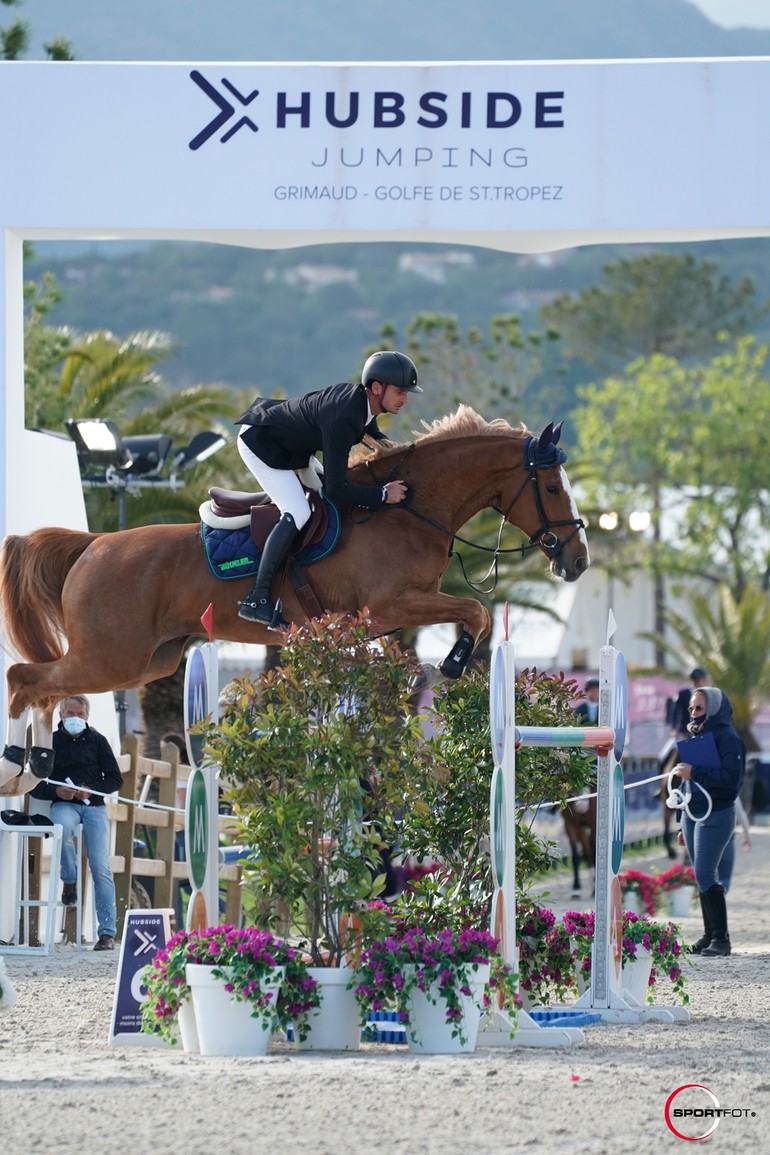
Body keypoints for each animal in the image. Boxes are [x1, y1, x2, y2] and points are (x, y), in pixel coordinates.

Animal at [1, 401, 591, 790]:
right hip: (112, 657)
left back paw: (40, 764)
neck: (409, 509)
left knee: (45, 687)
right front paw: (452, 662)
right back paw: (15, 762)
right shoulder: (390, 605)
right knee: (26, 678)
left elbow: (465, 619)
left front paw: (430, 671)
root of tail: (95, 544)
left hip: (148, 660)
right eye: (553, 487)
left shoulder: (392, 613)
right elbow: (475, 610)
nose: (578, 561)